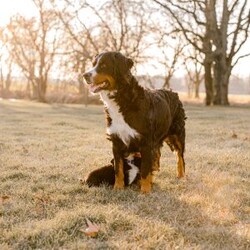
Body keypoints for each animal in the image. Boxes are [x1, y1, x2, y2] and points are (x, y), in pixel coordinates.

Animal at [83, 51, 187, 193]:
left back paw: (181, 176)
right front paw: (118, 188)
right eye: (93, 64)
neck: (122, 99)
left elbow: (144, 169)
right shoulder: (116, 140)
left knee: (180, 156)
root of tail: (172, 91)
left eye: (104, 65)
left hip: (177, 134)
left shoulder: (145, 142)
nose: (85, 75)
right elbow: (118, 169)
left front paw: (145, 191)